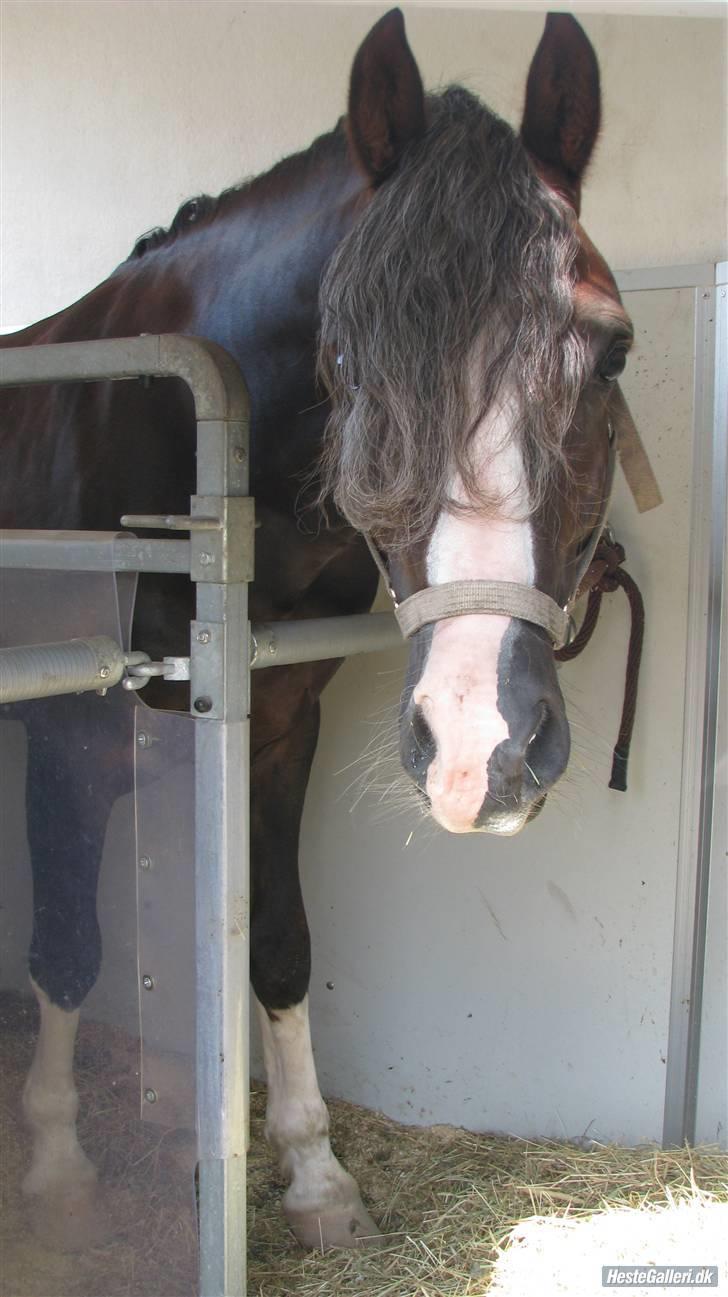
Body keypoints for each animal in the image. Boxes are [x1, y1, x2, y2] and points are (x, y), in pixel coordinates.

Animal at [0, 7, 635, 1255]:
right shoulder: (68, 731)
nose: (481, 747)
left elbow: (279, 942)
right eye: (345, 362)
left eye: (613, 351)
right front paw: (54, 1170)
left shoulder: (278, 721)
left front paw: (313, 1175)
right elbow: (66, 948)